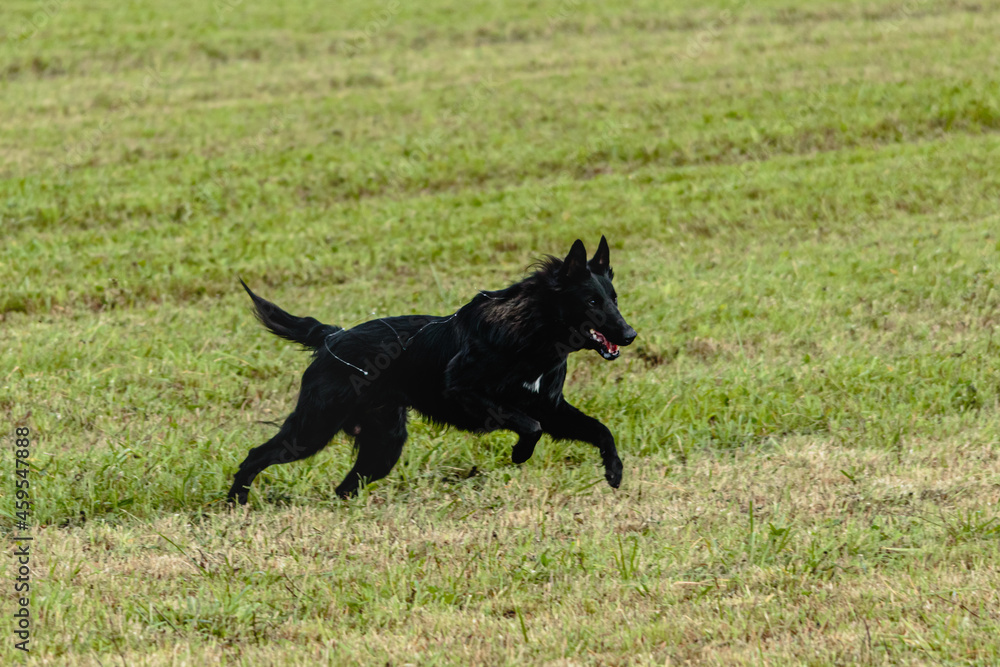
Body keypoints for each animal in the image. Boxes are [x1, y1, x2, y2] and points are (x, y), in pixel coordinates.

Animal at [229, 237, 632, 504]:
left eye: (614, 298)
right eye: (591, 301)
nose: (630, 334)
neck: (533, 331)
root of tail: (333, 335)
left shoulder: (549, 406)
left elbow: (600, 429)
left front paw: (614, 470)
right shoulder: (465, 391)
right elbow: (530, 427)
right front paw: (520, 454)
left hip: (383, 445)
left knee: (345, 486)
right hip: (313, 429)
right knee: (255, 456)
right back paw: (236, 503)